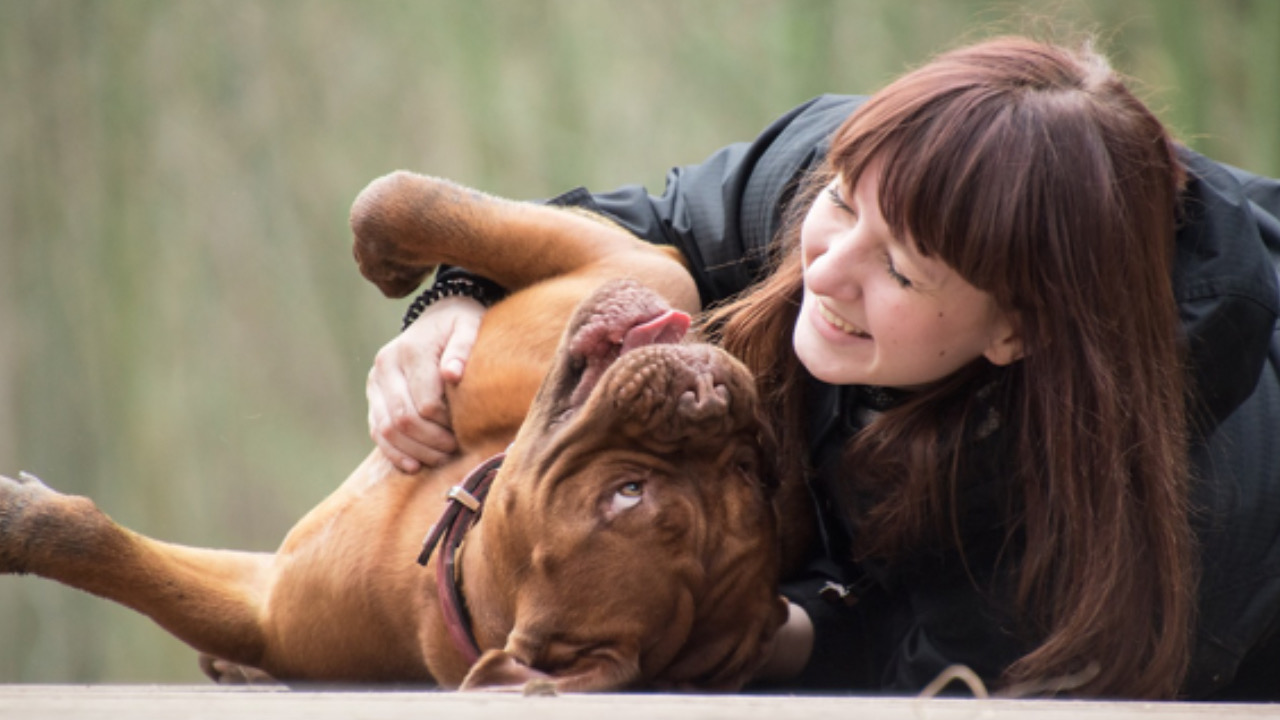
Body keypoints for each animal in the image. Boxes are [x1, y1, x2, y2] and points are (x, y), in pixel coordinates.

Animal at [0, 172, 788, 691]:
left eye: (627, 494)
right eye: (749, 473)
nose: (708, 398)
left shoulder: (265, 610)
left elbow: (108, 552)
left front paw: (22, 520)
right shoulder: (633, 260)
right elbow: (395, 198)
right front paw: (393, 266)